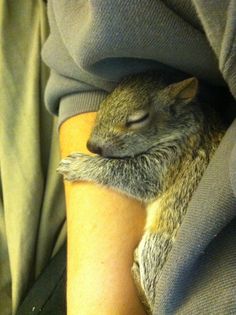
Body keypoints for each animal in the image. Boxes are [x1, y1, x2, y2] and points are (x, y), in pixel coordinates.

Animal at [57, 71, 227, 315]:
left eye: (138, 119)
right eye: (106, 100)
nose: (91, 146)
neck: (185, 125)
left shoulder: (172, 159)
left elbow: (133, 174)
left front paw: (79, 165)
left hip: (156, 246)